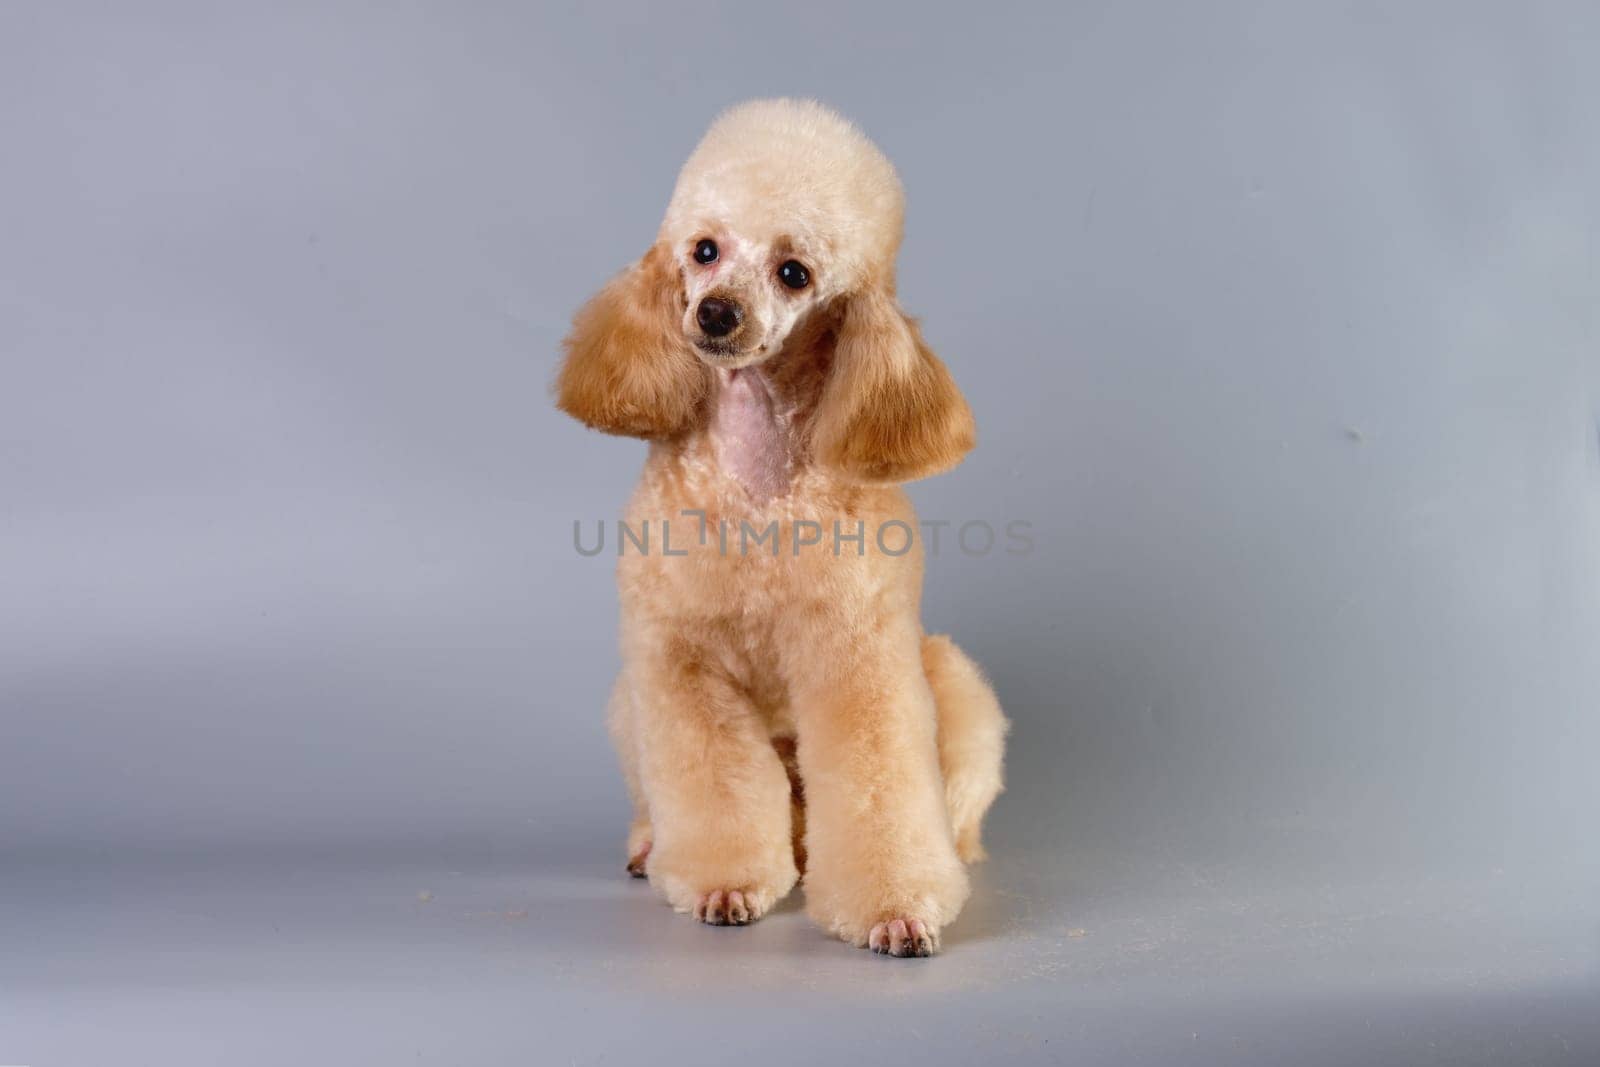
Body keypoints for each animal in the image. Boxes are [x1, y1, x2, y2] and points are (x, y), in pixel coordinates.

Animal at [556, 99, 1004, 953]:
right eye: (703, 251)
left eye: (793, 271)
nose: (714, 312)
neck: (756, 477)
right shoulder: (681, 662)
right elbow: (716, 786)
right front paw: (724, 883)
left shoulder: (857, 661)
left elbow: (876, 782)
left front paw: (894, 906)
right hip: (628, 701)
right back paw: (649, 845)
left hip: (952, 685)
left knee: (947, 803)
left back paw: (958, 854)